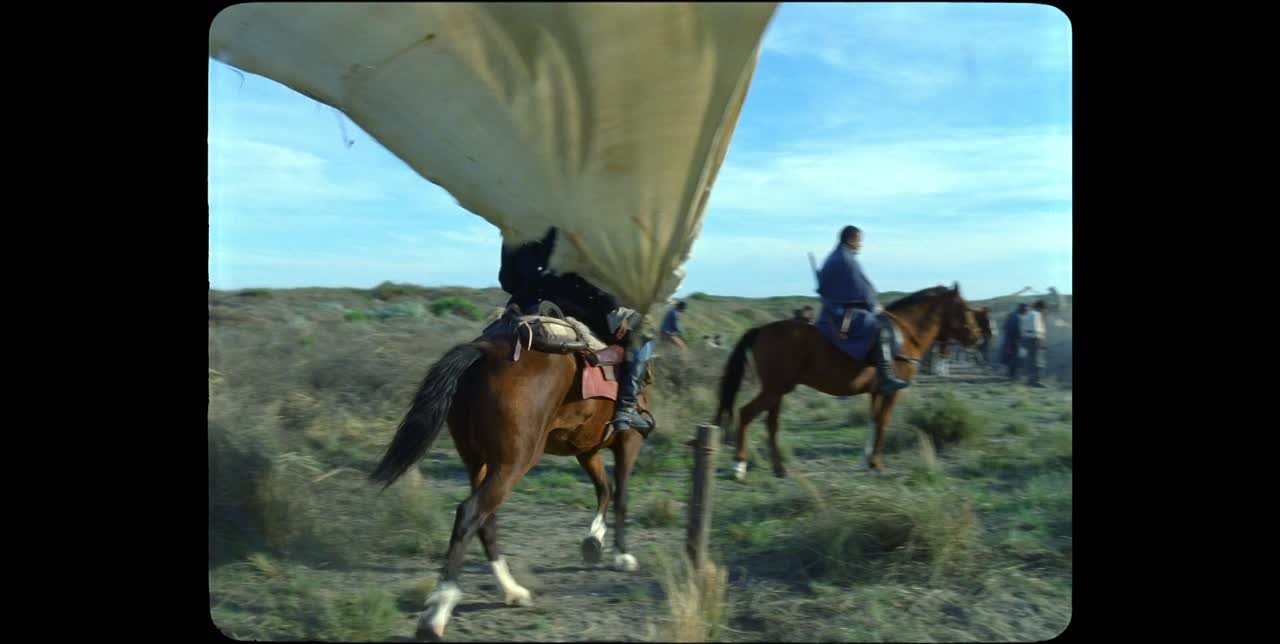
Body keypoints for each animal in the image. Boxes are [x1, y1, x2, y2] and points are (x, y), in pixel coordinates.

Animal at [368, 320, 650, 642]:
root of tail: (485, 350)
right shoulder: (629, 440)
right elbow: (621, 496)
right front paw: (622, 555)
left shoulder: (585, 449)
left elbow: (605, 488)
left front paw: (593, 540)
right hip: (514, 462)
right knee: (470, 513)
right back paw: (436, 613)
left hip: (478, 460)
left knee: (484, 520)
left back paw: (513, 591)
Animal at [716, 284, 983, 481]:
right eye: (964, 309)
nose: (977, 338)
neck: (904, 336)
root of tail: (761, 330)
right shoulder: (892, 392)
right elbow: (883, 423)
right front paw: (877, 464)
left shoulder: (875, 392)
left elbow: (874, 423)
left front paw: (867, 461)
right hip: (774, 390)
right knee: (746, 413)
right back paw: (739, 466)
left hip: (777, 391)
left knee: (771, 425)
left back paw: (779, 469)